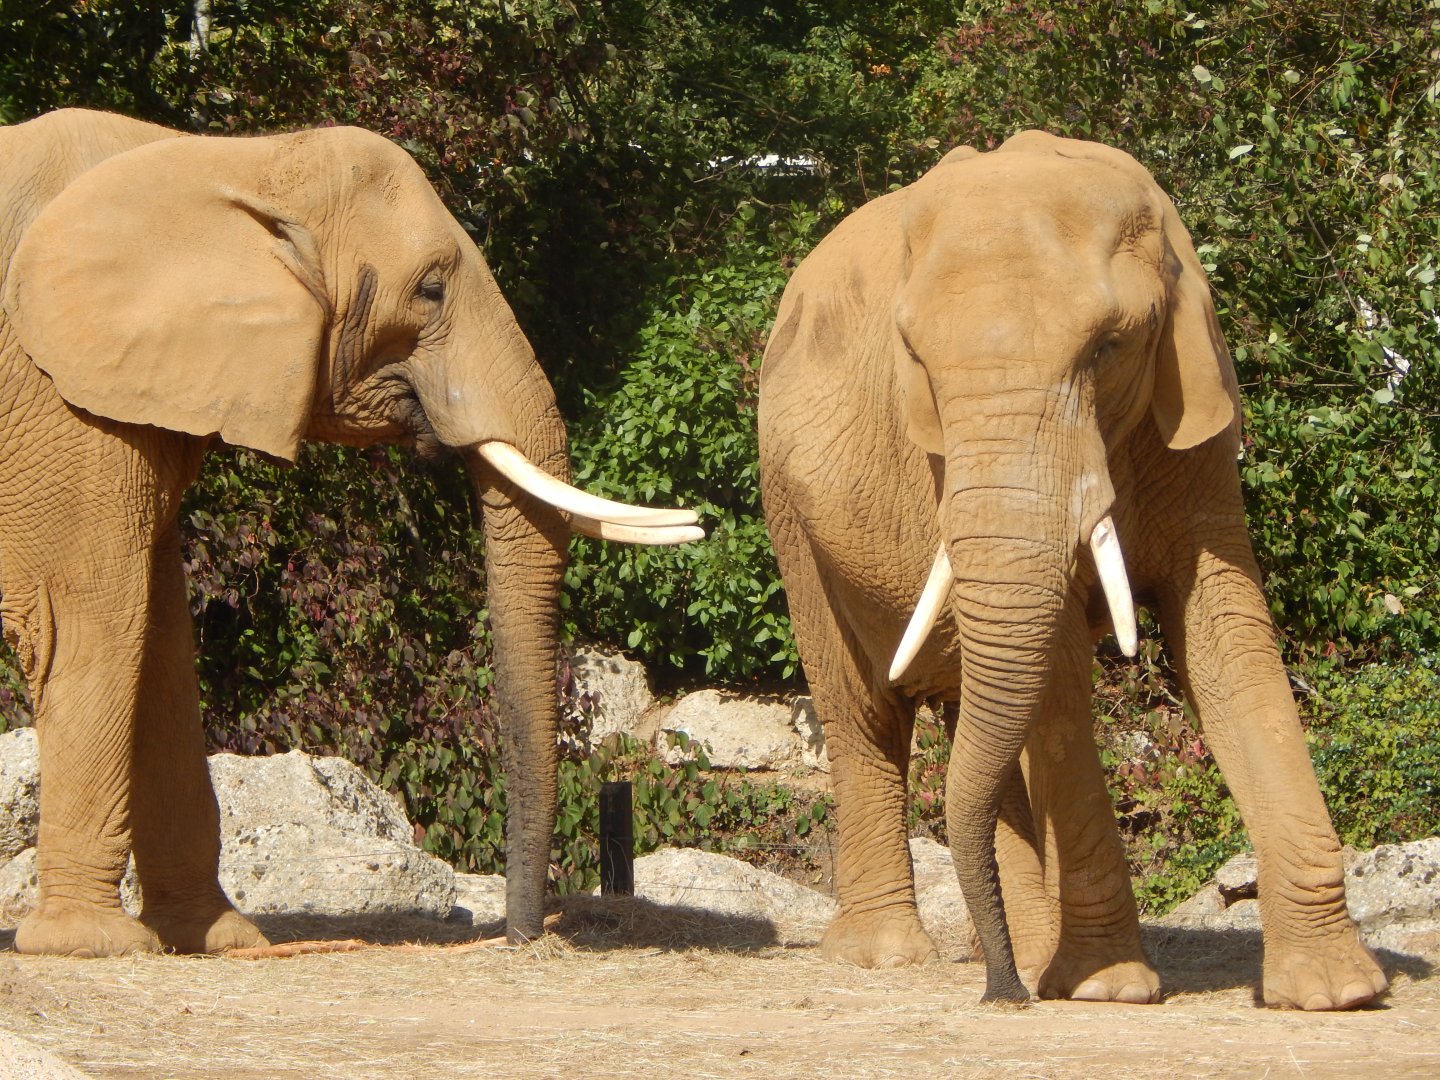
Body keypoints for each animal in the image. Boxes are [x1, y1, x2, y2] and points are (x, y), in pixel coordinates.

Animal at [0, 108, 701, 957]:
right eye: (430, 289)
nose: (522, 936)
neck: (232, 160)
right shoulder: (53, 389)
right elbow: (87, 618)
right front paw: (95, 945)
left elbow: (159, 640)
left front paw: (221, 941)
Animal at [757, 130, 1387, 1010]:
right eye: (913, 358)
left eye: (1108, 347)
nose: (1000, 998)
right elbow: (1052, 673)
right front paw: (1108, 990)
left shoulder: (1192, 424)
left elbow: (1225, 631)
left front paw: (1336, 992)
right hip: (789, 507)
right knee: (864, 711)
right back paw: (894, 957)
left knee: (974, 715)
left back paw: (1024, 954)